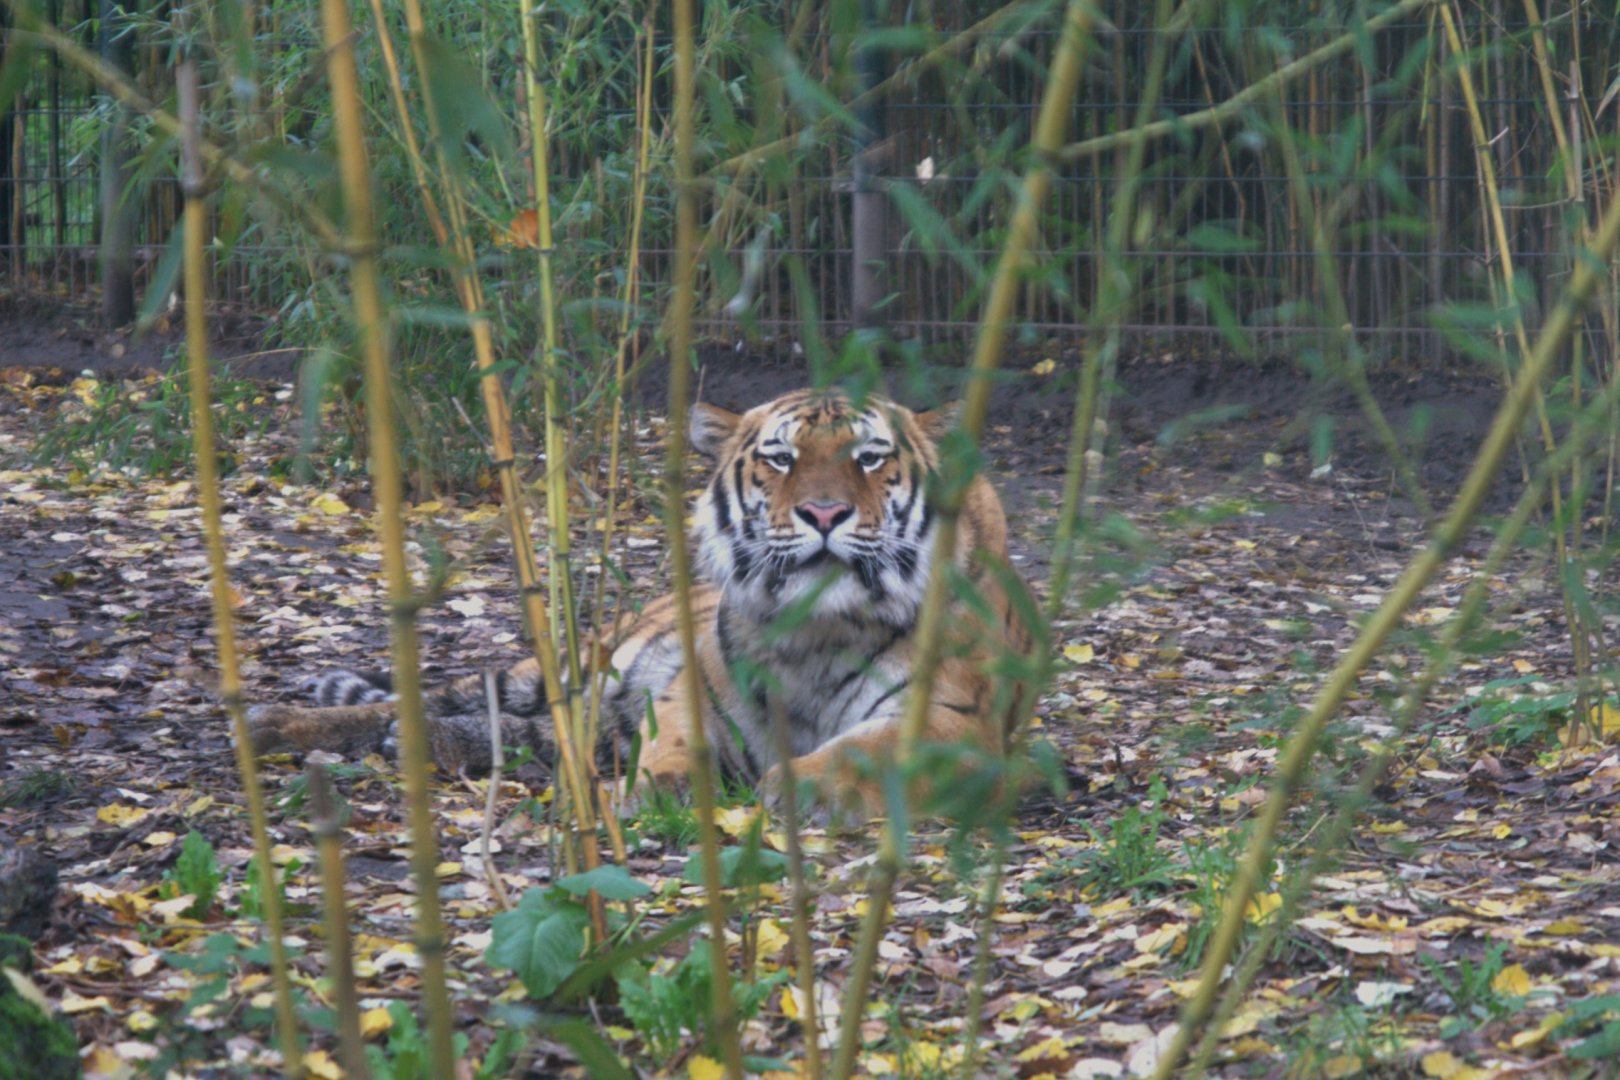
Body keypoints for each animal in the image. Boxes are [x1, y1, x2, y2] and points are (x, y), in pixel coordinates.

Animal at [244, 388, 1034, 814]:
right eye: (780, 458)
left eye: (871, 458)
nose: (824, 514)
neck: (819, 628)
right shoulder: (694, 691)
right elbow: (679, 741)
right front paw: (664, 786)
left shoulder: (953, 723)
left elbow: (863, 753)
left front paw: (796, 789)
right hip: (570, 670)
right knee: (445, 698)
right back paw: (277, 726)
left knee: (521, 736)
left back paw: (421, 745)